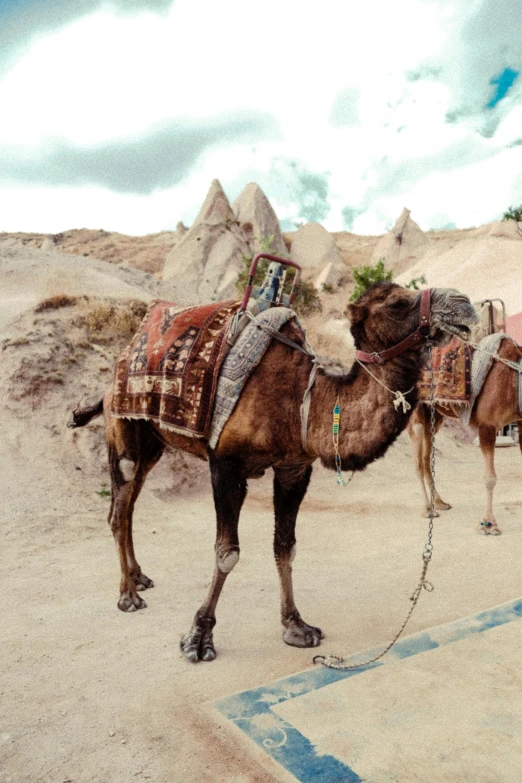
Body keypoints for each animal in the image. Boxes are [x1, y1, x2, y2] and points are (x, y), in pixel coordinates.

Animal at [70, 284, 476, 660]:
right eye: (397, 302)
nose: (464, 303)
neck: (302, 401)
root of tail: (113, 376)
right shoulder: (225, 464)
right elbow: (227, 552)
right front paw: (198, 637)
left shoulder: (293, 469)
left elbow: (286, 547)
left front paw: (296, 626)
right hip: (124, 432)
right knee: (119, 509)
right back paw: (127, 595)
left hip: (154, 445)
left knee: (129, 505)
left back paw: (139, 576)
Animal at [406, 336, 520, 532]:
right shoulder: (487, 425)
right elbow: (490, 478)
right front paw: (488, 524)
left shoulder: (521, 421)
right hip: (416, 411)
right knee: (418, 457)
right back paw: (428, 509)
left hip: (434, 415)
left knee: (426, 456)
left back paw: (440, 502)